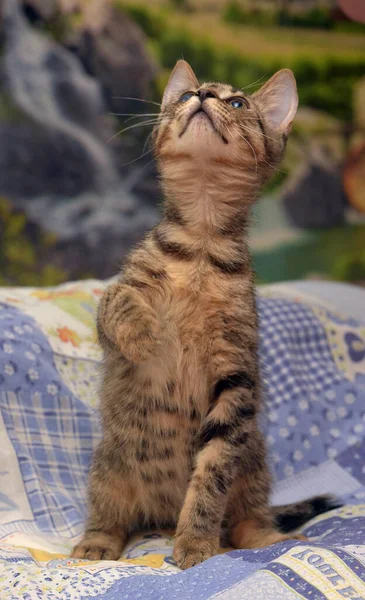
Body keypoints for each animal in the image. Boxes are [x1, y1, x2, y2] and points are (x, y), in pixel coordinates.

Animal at [71, 62, 330, 572]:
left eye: (237, 103)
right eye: (185, 94)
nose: (202, 95)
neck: (201, 248)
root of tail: (160, 515)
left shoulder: (236, 379)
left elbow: (210, 477)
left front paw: (195, 542)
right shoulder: (120, 293)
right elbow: (117, 301)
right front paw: (145, 332)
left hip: (253, 463)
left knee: (247, 518)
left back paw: (269, 537)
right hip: (108, 468)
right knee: (110, 517)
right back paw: (95, 543)